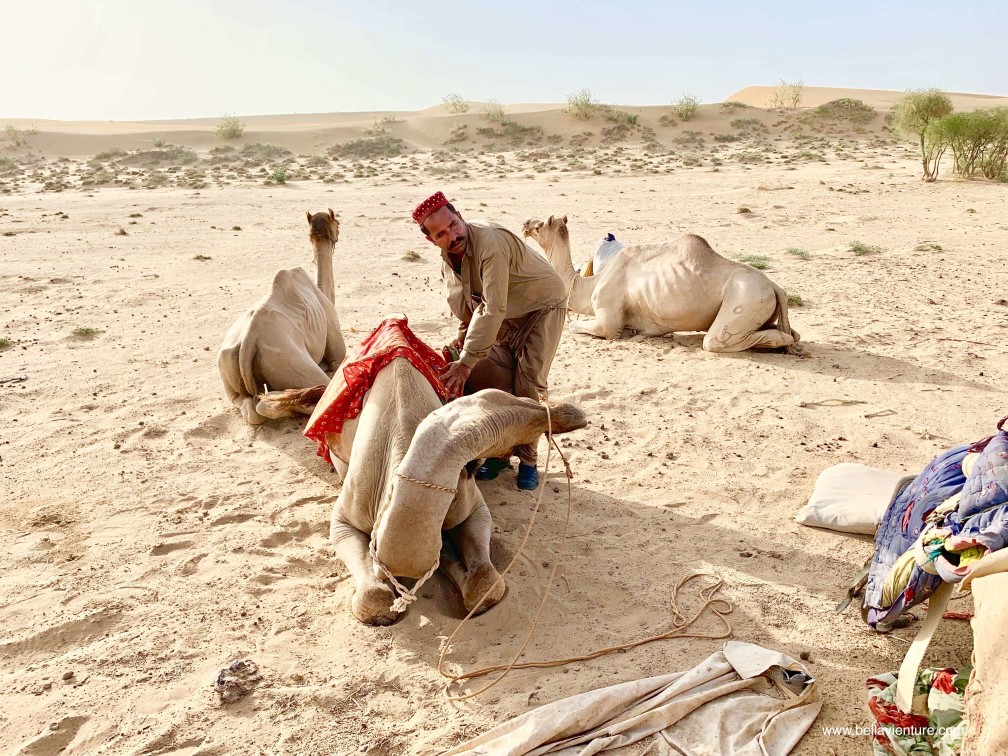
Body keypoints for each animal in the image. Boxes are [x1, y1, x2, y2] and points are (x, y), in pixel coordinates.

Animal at [217, 209, 346, 424]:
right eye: (337, 222)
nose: (339, 232)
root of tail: (249, 341)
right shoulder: (336, 350)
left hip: (227, 365)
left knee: (249, 408)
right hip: (289, 360)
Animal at [265, 357, 587, 626]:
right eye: (522, 411)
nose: (569, 413)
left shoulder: (470, 504)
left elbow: (487, 582)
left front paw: (455, 566)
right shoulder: (346, 517)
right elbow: (373, 598)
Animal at [523, 216, 800, 353]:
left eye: (540, 225)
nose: (525, 224)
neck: (590, 283)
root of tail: (774, 286)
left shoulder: (607, 316)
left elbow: (584, 328)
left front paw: (626, 333)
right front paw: (633, 331)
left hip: (746, 299)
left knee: (715, 341)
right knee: (791, 332)